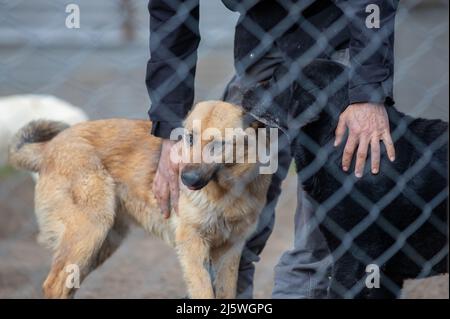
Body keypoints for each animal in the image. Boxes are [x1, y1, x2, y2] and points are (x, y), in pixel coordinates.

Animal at [8, 100, 270, 300]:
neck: (228, 191)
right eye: (189, 138)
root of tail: (48, 148)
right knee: (54, 286)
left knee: (67, 285)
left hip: (103, 242)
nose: (184, 179)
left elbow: (226, 293)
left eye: (218, 144)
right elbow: (204, 292)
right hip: (90, 231)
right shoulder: (193, 246)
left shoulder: (230, 250)